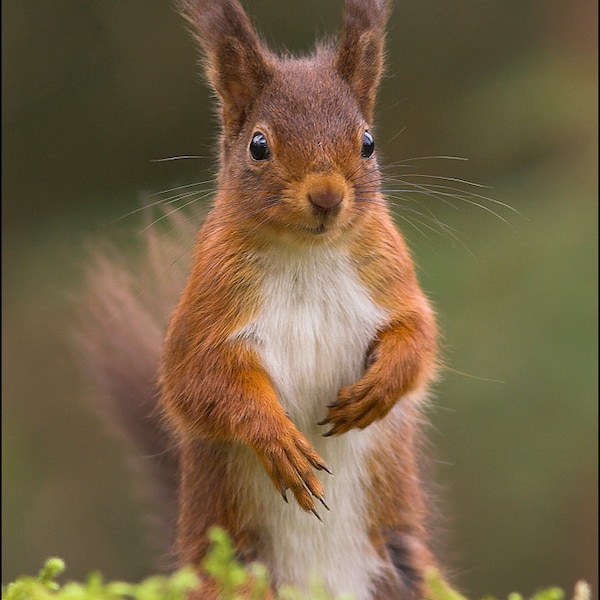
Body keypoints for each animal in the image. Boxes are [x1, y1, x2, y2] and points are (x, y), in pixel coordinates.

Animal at [79, 1, 440, 600]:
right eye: (258, 145)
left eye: (367, 142)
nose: (327, 195)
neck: (307, 255)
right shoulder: (207, 305)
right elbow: (197, 383)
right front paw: (279, 443)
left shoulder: (390, 274)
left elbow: (418, 336)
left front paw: (378, 390)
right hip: (236, 572)